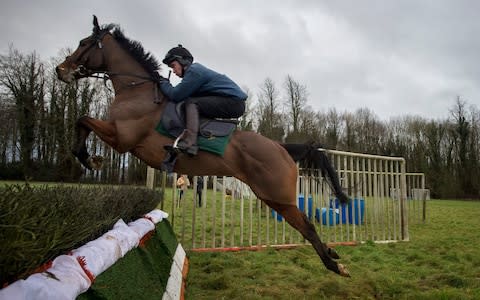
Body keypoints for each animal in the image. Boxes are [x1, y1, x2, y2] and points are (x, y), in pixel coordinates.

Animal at [55, 14, 348, 276]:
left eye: (84, 43)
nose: (60, 70)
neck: (137, 91)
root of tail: (280, 148)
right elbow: (83, 121)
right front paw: (88, 158)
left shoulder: (121, 138)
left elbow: (83, 119)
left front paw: (88, 158)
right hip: (272, 197)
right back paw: (332, 253)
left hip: (278, 197)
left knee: (307, 226)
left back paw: (334, 265)